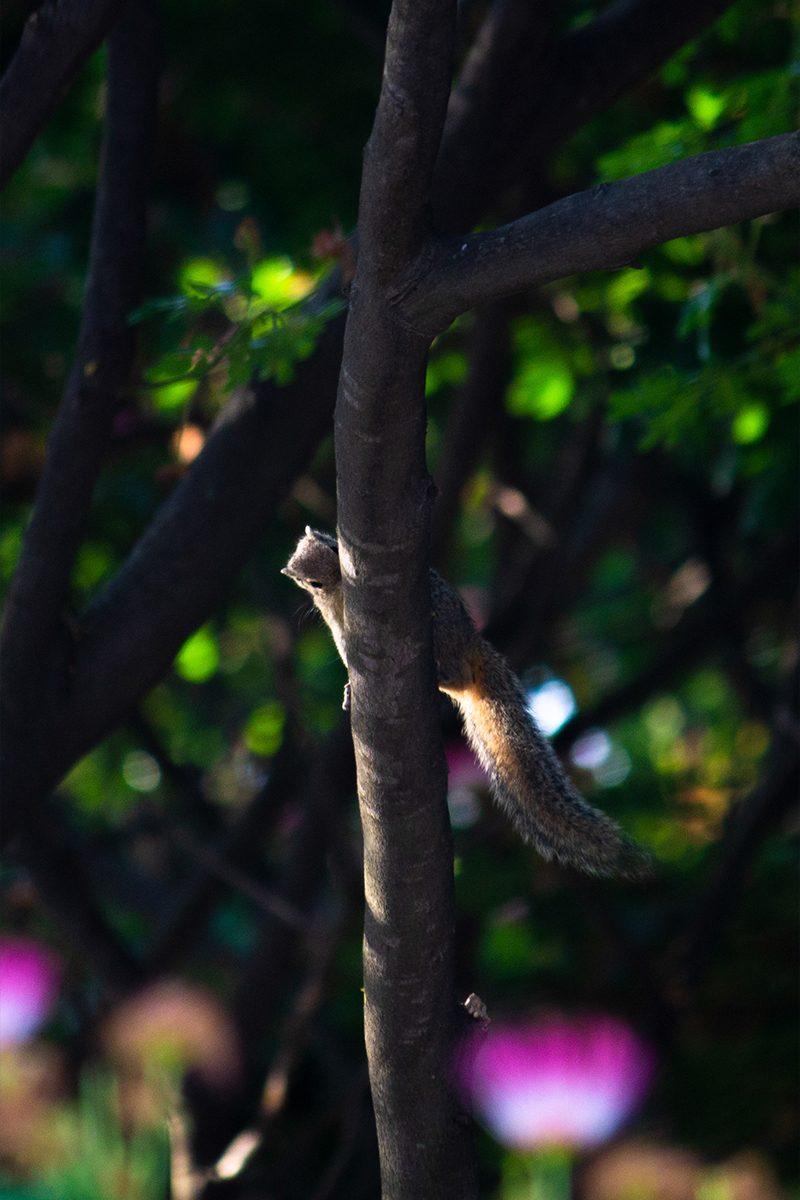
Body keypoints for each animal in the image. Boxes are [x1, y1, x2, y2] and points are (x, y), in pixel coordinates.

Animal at [283, 528, 652, 883]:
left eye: (335, 548)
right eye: (311, 583)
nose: (336, 574)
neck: (340, 593)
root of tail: (471, 641)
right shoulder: (335, 622)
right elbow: (346, 650)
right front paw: (349, 690)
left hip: (445, 629)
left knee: (456, 667)